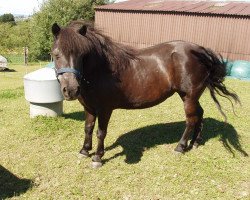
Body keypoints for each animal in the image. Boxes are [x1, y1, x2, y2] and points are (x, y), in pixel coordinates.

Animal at [51, 20, 239, 167]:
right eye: (56, 54)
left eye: (82, 55)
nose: (71, 89)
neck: (101, 70)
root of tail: (200, 50)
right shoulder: (89, 107)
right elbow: (88, 128)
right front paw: (84, 150)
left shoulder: (105, 109)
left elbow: (100, 132)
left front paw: (97, 157)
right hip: (189, 96)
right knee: (200, 114)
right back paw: (195, 142)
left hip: (189, 97)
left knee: (191, 120)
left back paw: (180, 147)